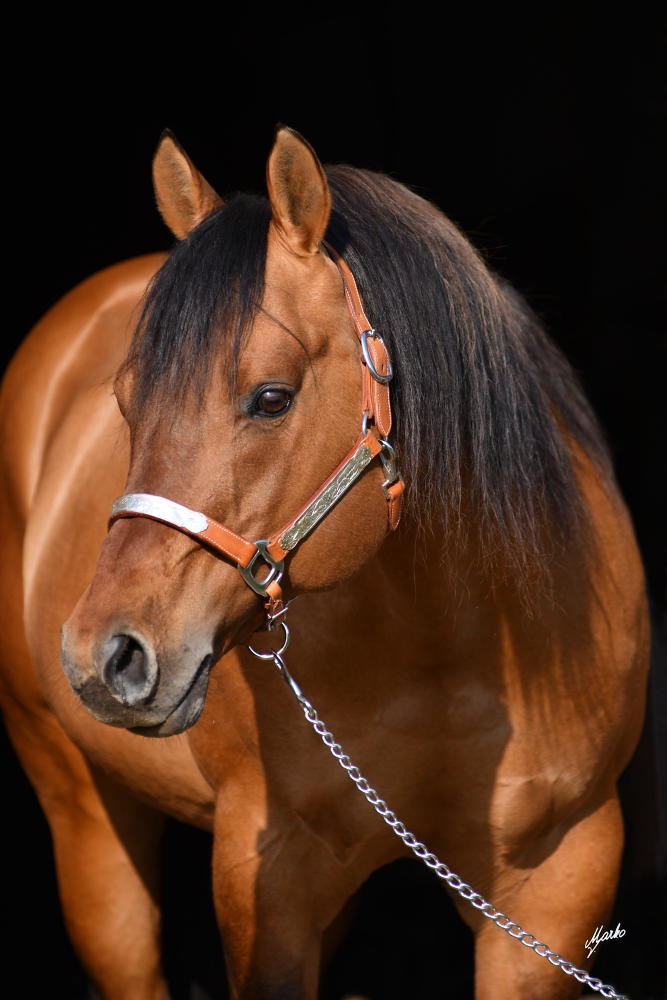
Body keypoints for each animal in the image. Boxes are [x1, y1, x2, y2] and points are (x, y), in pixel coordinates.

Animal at [0, 127, 648, 1000]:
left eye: (271, 398)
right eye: (127, 401)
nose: (106, 655)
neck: (444, 647)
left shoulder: (554, 888)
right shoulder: (268, 876)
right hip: (82, 812)